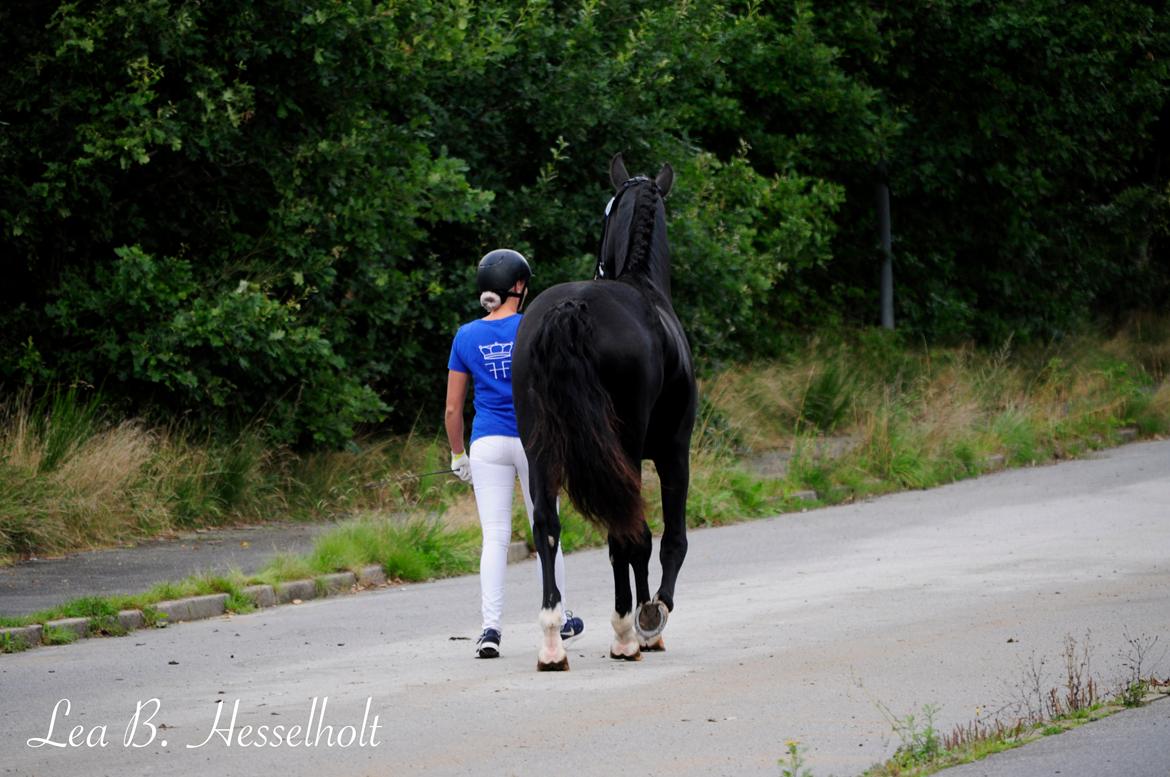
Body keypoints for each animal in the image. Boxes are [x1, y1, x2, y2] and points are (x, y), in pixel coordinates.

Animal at [512, 154, 692, 669]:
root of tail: (570, 309)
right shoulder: (675, 452)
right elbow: (669, 539)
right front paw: (652, 617)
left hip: (540, 449)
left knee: (547, 527)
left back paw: (552, 641)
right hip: (624, 448)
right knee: (627, 533)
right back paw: (626, 633)